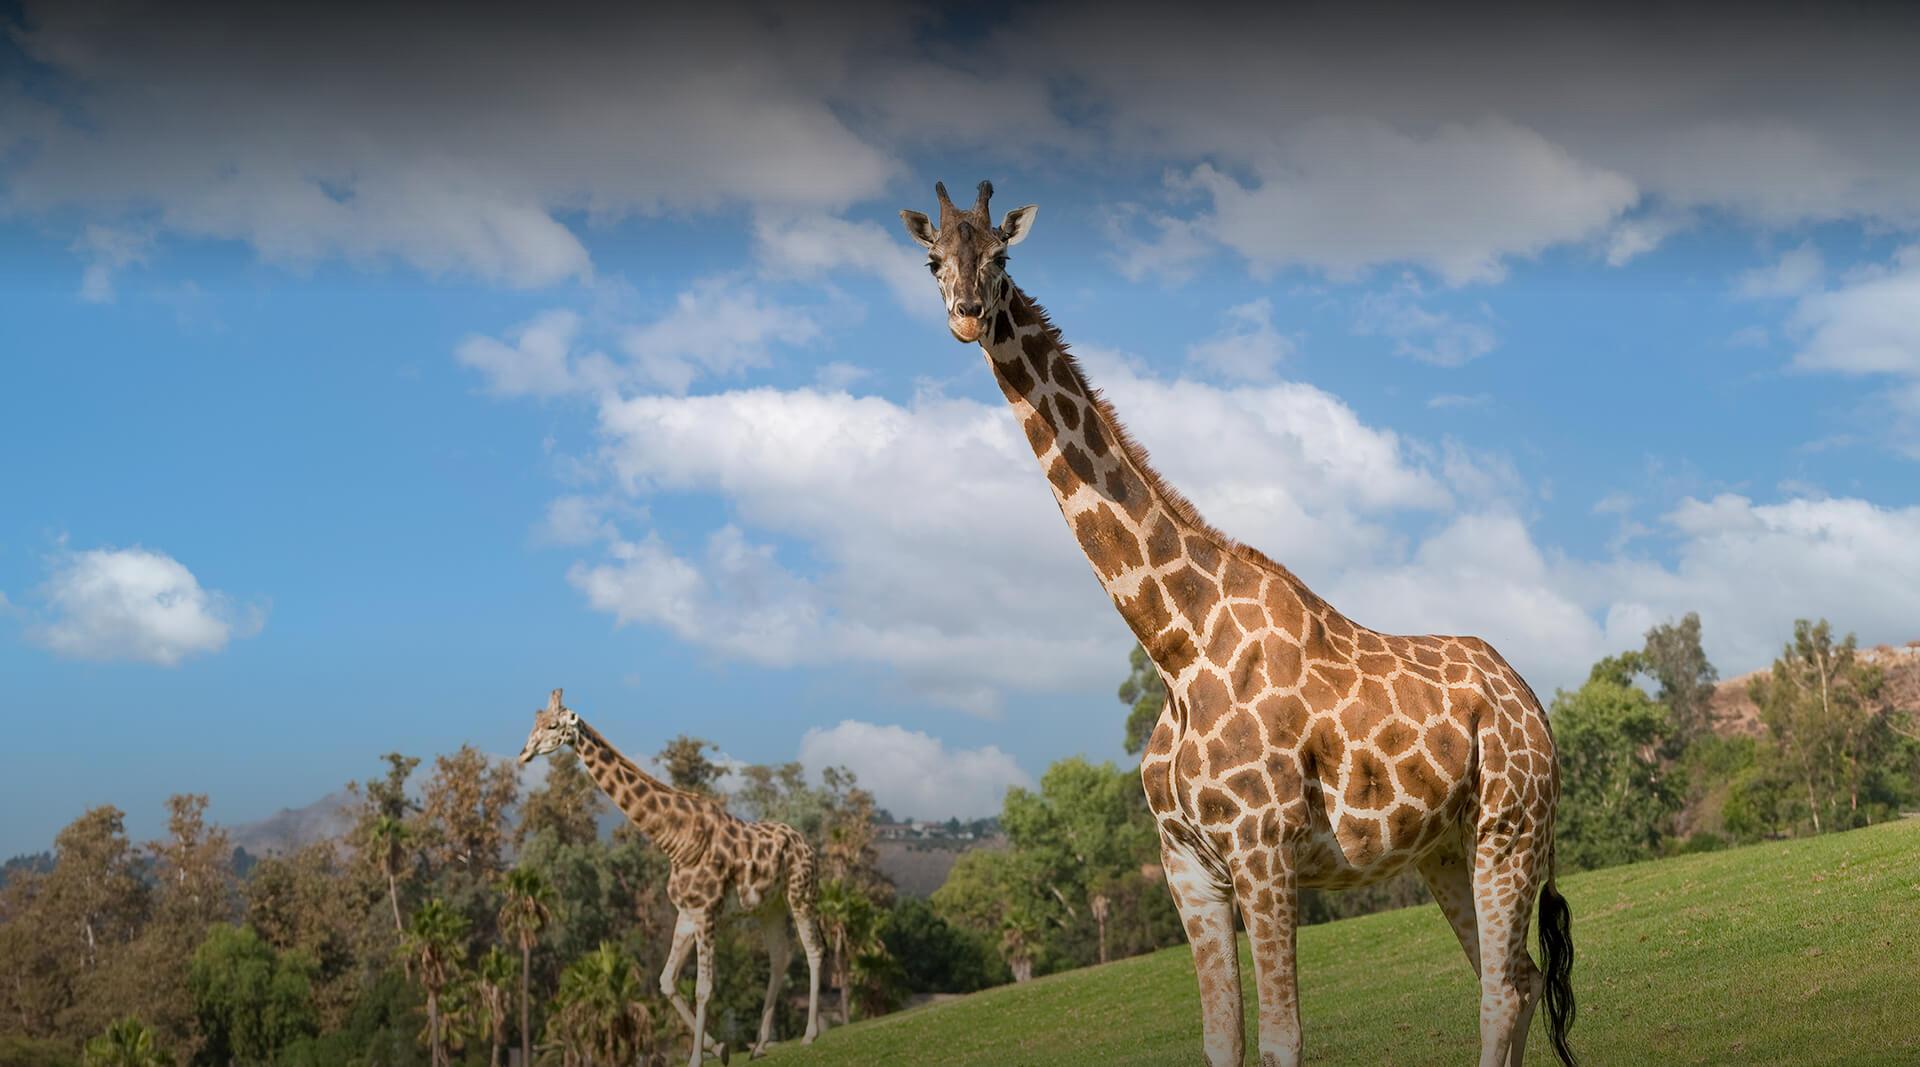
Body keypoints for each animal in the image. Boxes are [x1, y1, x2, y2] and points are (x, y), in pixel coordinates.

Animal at [518, 687, 825, 1059]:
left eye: (551, 725)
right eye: (534, 721)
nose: (524, 753)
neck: (673, 838)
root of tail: (806, 843)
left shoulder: (707, 911)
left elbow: (704, 988)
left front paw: (698, 1059)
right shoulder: (687, 912)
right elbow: (666, 981)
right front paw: (718, 1047)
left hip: (800, 893)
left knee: (813, 949)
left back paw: (809, 1035)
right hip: (769, 906)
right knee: (780, 956)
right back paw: (760, 1044)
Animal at [898, 185, 1574, 1067]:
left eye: (1002, 255)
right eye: (933, 259)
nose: (969, 314)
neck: (1174, 645)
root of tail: (1532, 702)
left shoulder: (1263, 847)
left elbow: (1282, 1040)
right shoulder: (1187, 861)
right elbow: (1221, 1041)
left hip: (1509, 825)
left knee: (1504, 984)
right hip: (1446, 847)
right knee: (1515, 977)